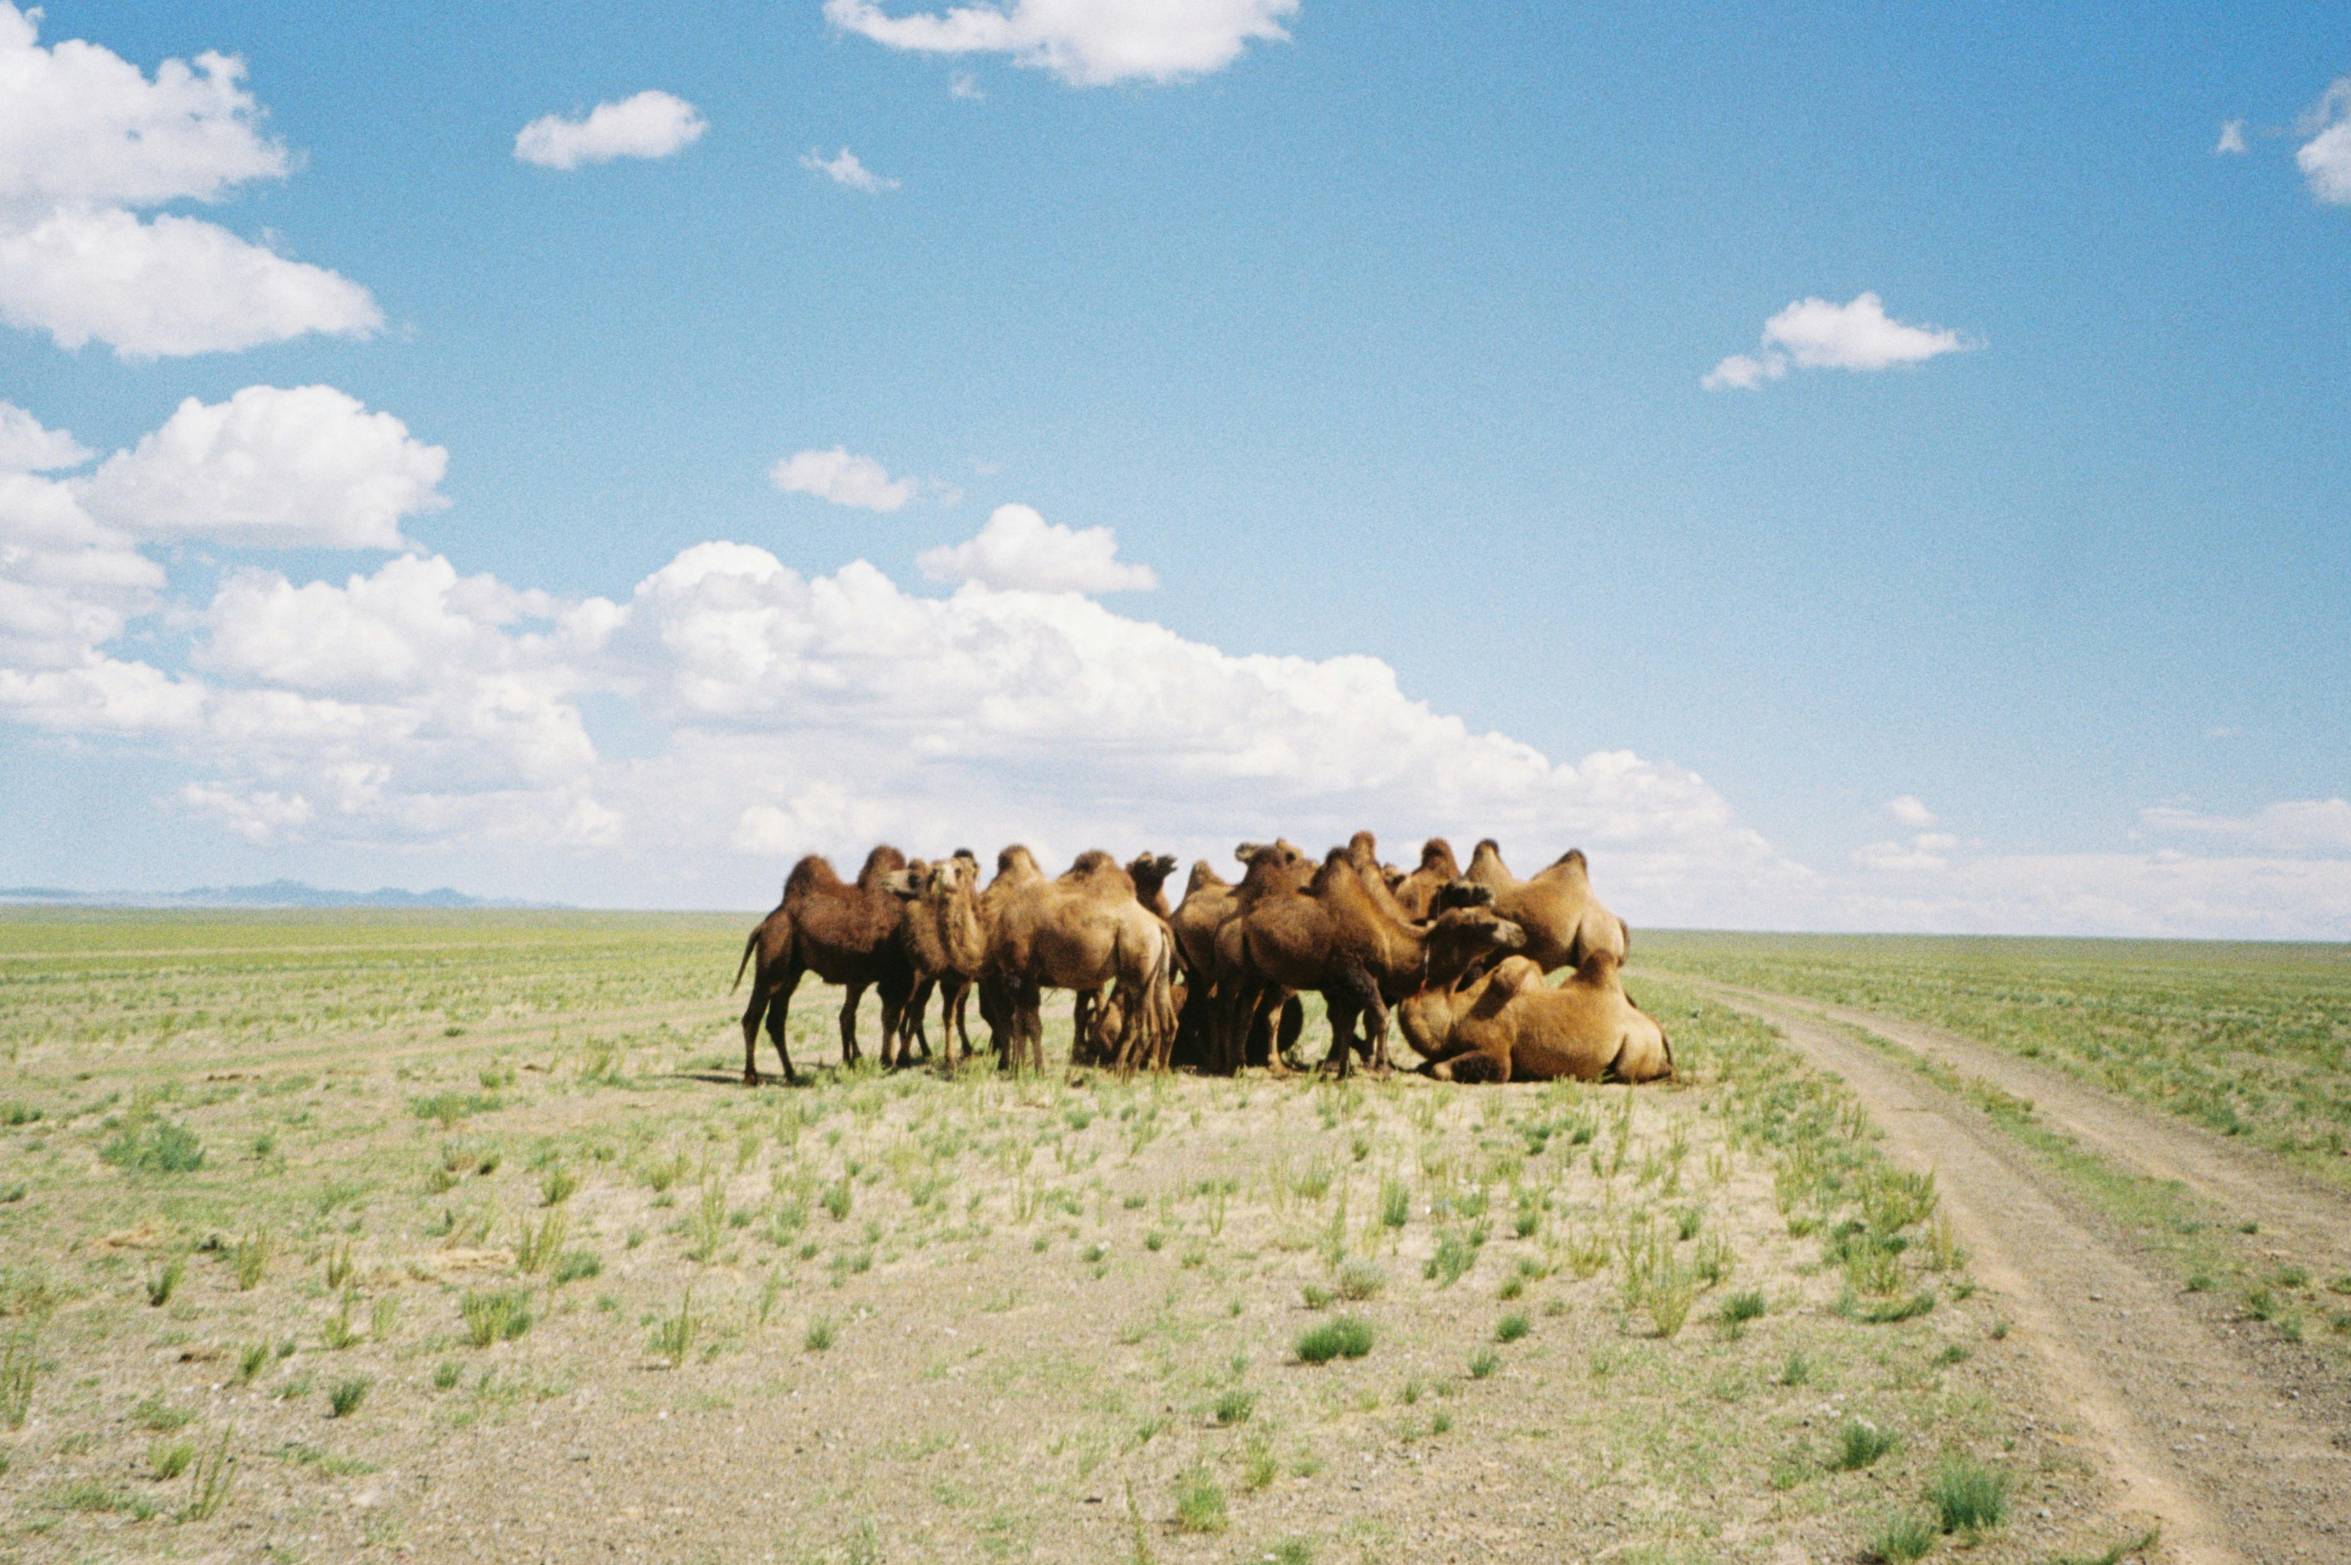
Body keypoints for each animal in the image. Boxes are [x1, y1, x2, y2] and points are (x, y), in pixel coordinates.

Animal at [732, 845, 915, 1083]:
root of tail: (764, 924)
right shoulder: (893, 977)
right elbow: (890, 1018)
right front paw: (887, 1062)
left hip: (791, 974)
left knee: (776, 1020)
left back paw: (791, 1073)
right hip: (771, 964)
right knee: (752, 1018)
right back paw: (751, 1076)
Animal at [982, 849, 1180, 1073]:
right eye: (1146, 864)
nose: (1170, 860)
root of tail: (1158, 925)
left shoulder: (1023, 974)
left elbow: (1031, 1025)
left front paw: (1036, 1070)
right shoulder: (1021, 979)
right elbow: (1022, 1023)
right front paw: (1019, 1069)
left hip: (1139, 974)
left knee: (1144, 1026)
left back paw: (1124, 1072)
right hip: (1156, 974)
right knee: (1162, 1020)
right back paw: (1152, 1071)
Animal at [1399, 953, 1673, 1084]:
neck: (1455, 1015)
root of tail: (1655, 1024)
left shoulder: (1495, 1048)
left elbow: (1441, 1068)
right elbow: (1429, 1064)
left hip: (1638, 1046)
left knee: (1632, 1072)